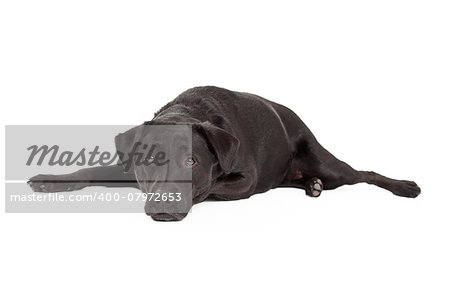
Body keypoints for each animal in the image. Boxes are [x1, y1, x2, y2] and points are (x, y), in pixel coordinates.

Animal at [29, 85, 422, 221]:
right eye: (151, 160)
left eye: (192, 161)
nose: (164, 205)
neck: (186, 111)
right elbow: (88, 171)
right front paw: (48, 180)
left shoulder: (245, 179)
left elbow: (211, 186)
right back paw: (311, 186)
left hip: (327, 163)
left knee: (364, 174)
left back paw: (404, 186)